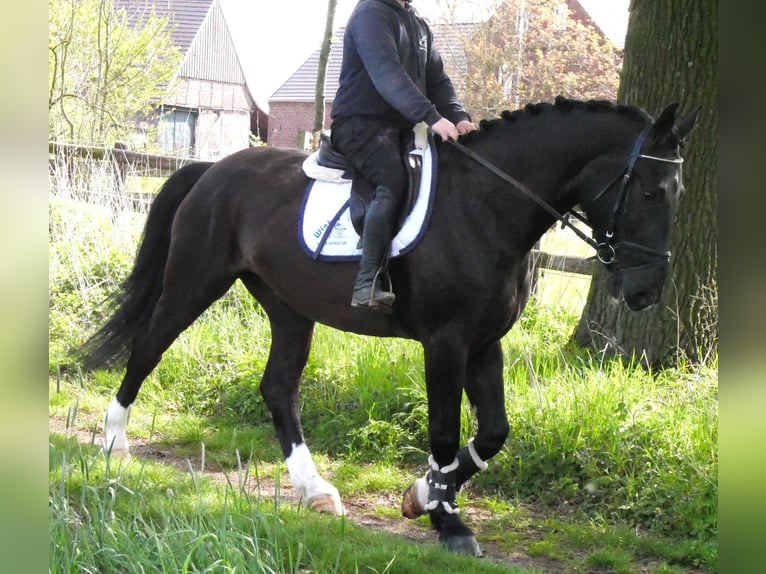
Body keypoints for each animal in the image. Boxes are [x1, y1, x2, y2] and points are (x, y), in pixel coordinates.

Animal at [82, 97, 700, 556]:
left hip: (289, 308)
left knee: (278, 388)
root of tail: (213, 170)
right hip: (195, 282)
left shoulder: (484, 343)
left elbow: (493, 432)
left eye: (678, 195)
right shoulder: (446, 341)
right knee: (147, 347)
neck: (488, 206)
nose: (645, 292)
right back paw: (114, 445)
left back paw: (315, 491)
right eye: (650, 191)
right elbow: (447, 430)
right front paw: (448, 522)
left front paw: (423, 495)